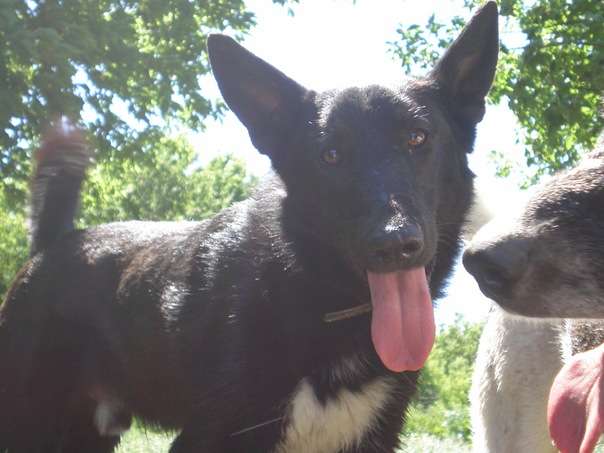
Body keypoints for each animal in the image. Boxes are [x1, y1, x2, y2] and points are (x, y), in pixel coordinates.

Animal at [0, 3, 498, 452]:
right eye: (330, 156)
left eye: (417, 138)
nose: (394, 243)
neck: (319, 295)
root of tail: (50, 247)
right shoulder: (209, 437)